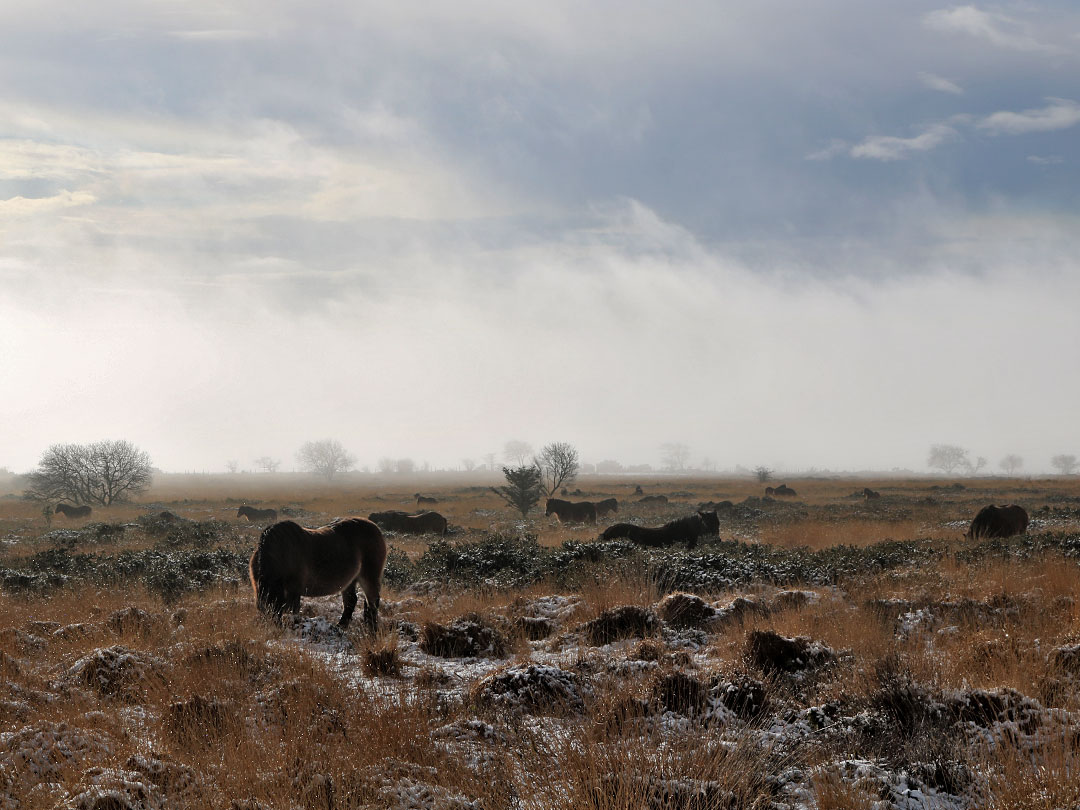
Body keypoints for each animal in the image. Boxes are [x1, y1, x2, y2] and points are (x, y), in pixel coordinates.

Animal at [249, 520, 388, 635]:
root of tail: (376, 528)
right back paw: (340, 627)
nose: (274, 630)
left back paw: (372, 630)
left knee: (372, 603)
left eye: (276, 608)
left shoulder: (293, 591)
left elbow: (294, 611)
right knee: (351, 601)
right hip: (350, 581)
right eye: (262, 609)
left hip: (369, 577)